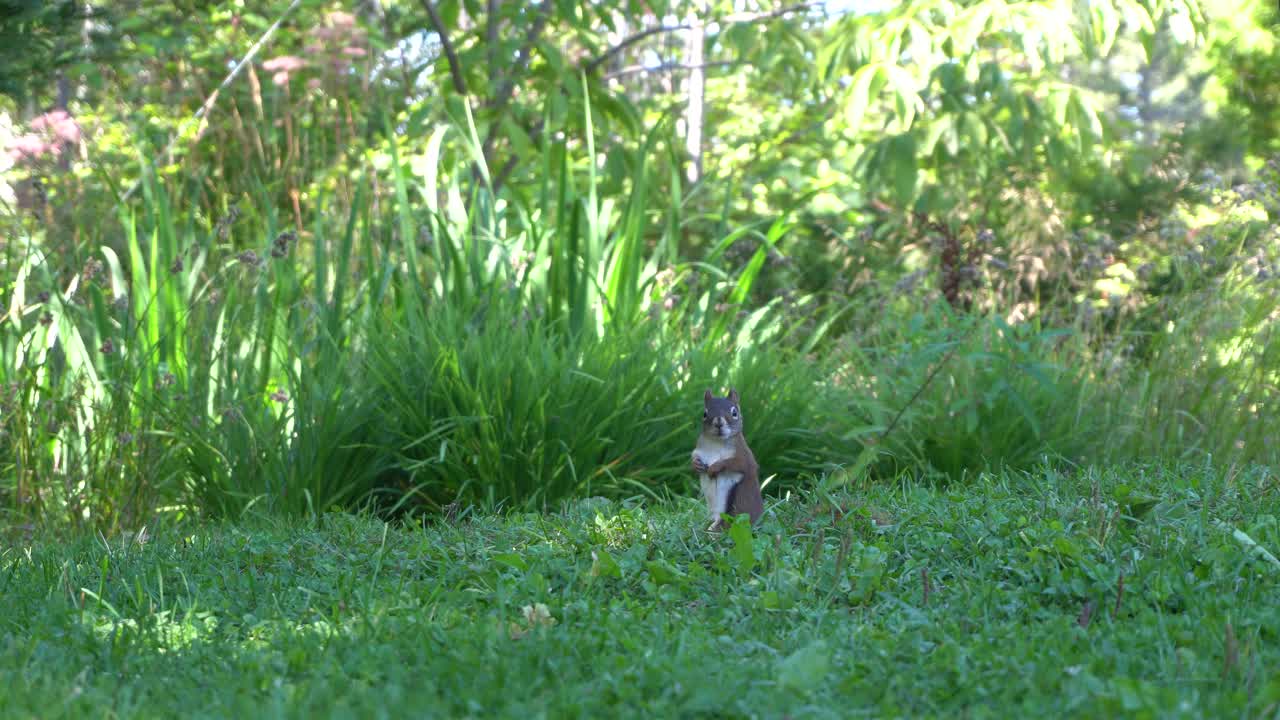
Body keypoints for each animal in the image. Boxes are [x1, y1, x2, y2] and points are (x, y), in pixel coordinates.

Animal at [690, 389, 763, 532]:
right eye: (705, 413)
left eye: (734, 413)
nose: (718, 423)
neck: (717, 443)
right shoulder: (700, 449)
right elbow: (694, 456)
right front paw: (696, 464)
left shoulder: (744, 457)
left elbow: (734, 463)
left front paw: (714, 468)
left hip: (734, 507)